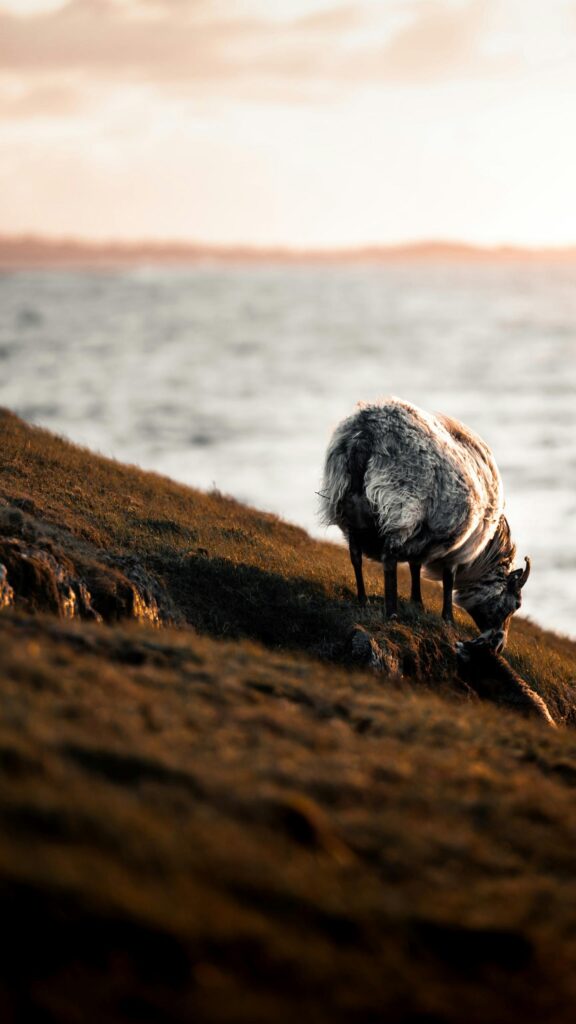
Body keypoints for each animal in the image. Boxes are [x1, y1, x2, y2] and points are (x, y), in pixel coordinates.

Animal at [319, 397, 530, 645]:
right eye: (516, 604)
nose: (497, 645)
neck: (482, 554)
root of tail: (364, 435)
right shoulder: (454, 549)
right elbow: (447, 581)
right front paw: (447, 618)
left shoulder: (422, 538)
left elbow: (415, 566)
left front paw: (417, 601)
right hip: (400, 507)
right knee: (389, 560)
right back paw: (391, 612)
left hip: (348, 510)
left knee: (355, 557)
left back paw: (363, 599)